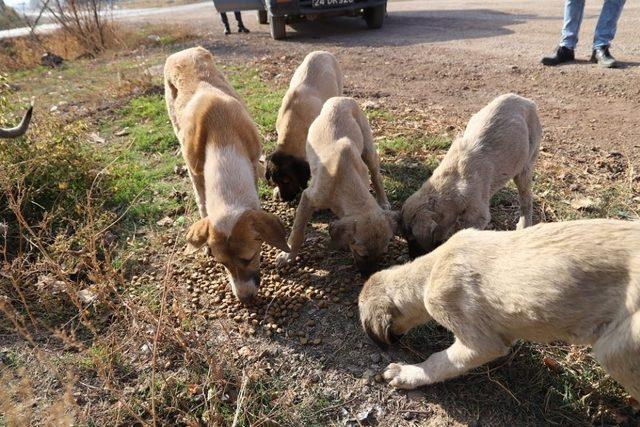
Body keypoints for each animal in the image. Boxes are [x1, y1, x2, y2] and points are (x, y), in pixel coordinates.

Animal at [164, 46, 288, 304]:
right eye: (222, 264)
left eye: (249, 257)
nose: (244, 298)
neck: (221, 136)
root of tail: (182, 51)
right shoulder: (196, 174)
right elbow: (202, 204)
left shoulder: (252, 157)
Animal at [276, 96, 398, 276]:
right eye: (362, 254)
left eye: (383, 254)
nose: (368, 277)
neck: (343, 177)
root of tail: (341, 98)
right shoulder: (308, 197)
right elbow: (297, 231)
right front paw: (288, 255)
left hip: (368, 150)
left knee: (377, 176)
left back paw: (383, 201)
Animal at [400, 94, 540, 260]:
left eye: (413, 239)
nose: (412, 258)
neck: (452, 181)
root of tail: (525, 100)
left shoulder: (478, 214)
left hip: (526, 166)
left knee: (526, 199)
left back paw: (524, 225)